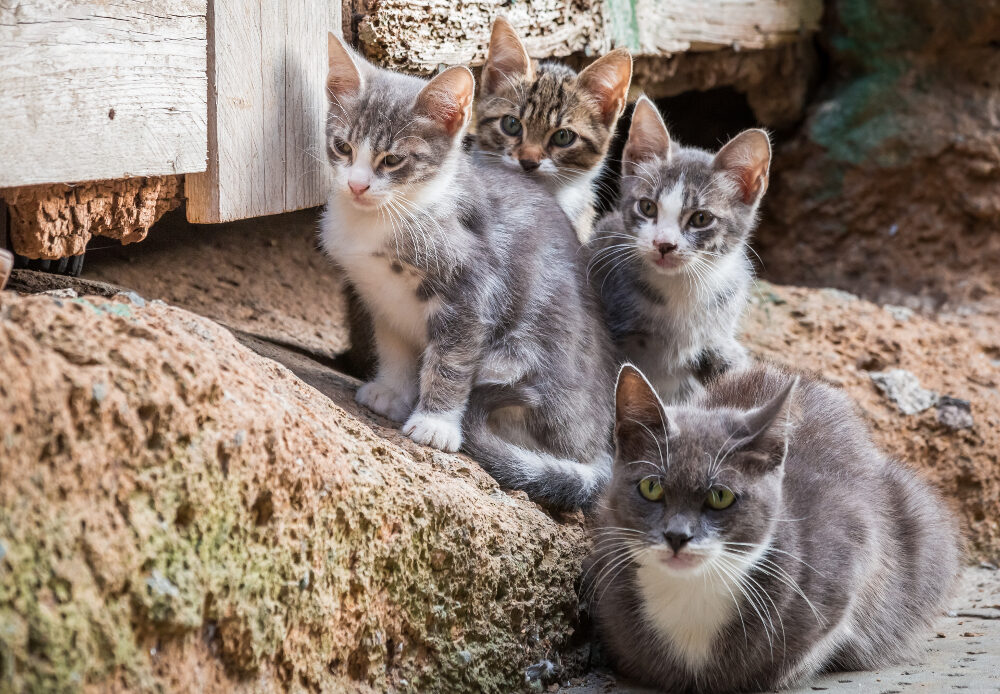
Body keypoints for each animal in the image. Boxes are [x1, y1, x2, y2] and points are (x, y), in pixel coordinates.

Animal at [320, 35, 616, 508]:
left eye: (392, 160)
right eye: (343, 147)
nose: (357, 185)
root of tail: (602, 448)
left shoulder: (473, 290)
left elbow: (452, 359)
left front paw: (436, 423)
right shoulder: (380, 295)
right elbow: (394, 346)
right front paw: (392, 390)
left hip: (516, 360)